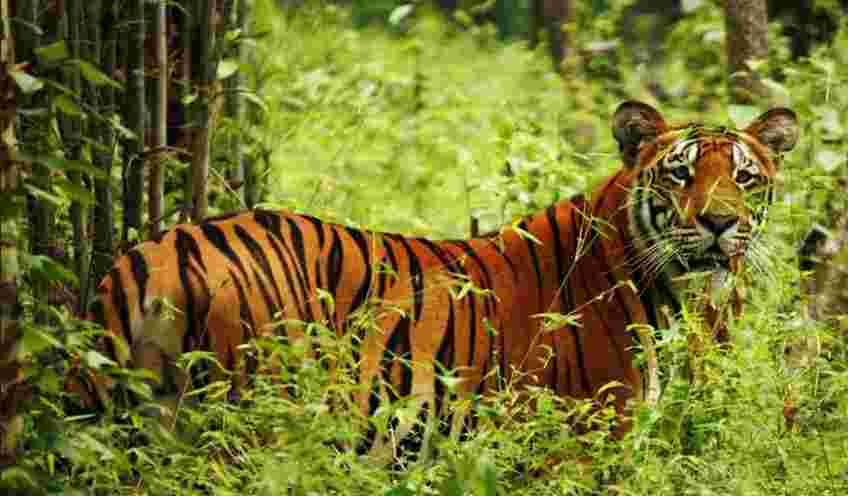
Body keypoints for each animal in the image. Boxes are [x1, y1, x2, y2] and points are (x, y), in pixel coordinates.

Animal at [0, 101, 798, 464]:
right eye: (681, 174)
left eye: (745, 177)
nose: (722, 224)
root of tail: (155, 250)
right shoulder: (576, 445)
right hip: (251, 419)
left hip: (146, 417)